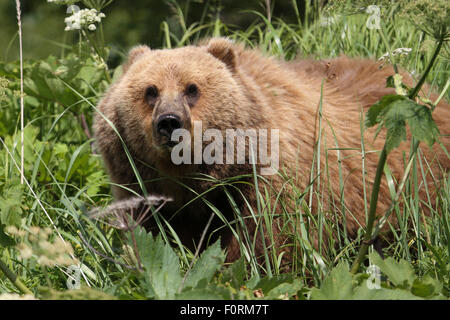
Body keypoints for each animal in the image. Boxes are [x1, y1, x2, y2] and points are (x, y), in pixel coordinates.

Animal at [93, 36, 448, 268]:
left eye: (192, 88)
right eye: (150, 91)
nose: (169, 122)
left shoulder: (269, 184)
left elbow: (270, 245)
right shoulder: (144, 190)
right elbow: (152, 240)